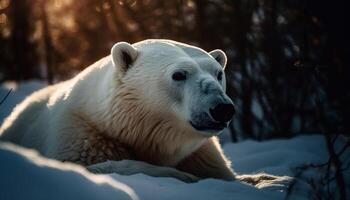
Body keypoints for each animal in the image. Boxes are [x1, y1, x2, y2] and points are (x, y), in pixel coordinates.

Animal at [0, 39, 284, 184]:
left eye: (218, 73)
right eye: (179, 74)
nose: (222, 109)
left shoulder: (202, 154)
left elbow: (228, 175)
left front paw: (268, 178)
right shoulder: (82, 138)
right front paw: (181, 176)